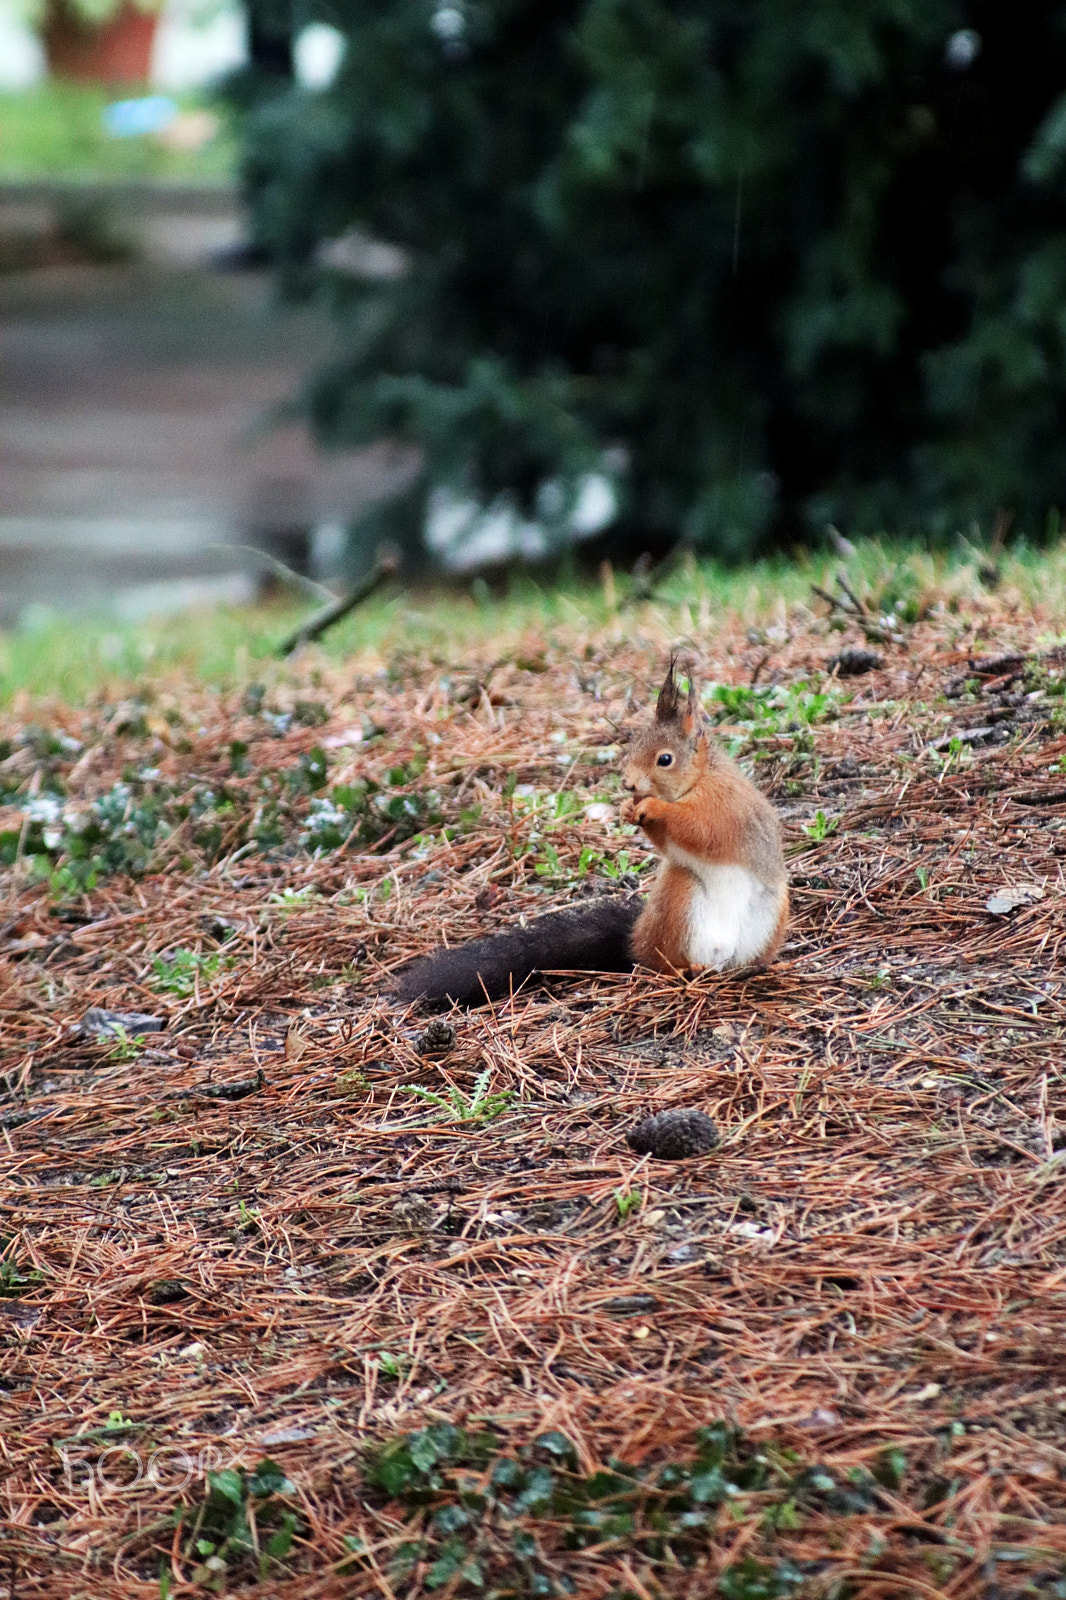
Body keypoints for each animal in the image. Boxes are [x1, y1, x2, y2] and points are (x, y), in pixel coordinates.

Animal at [393, 649, 784, 998]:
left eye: (665, 759)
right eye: (633, 746)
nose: (628, 784)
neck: (700, 779)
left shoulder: (725, 808)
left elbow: (702, 831)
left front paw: (653, 806)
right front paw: (628, 809)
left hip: (767, 917)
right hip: (681, 899)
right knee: (663, 961)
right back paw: (690, 968)